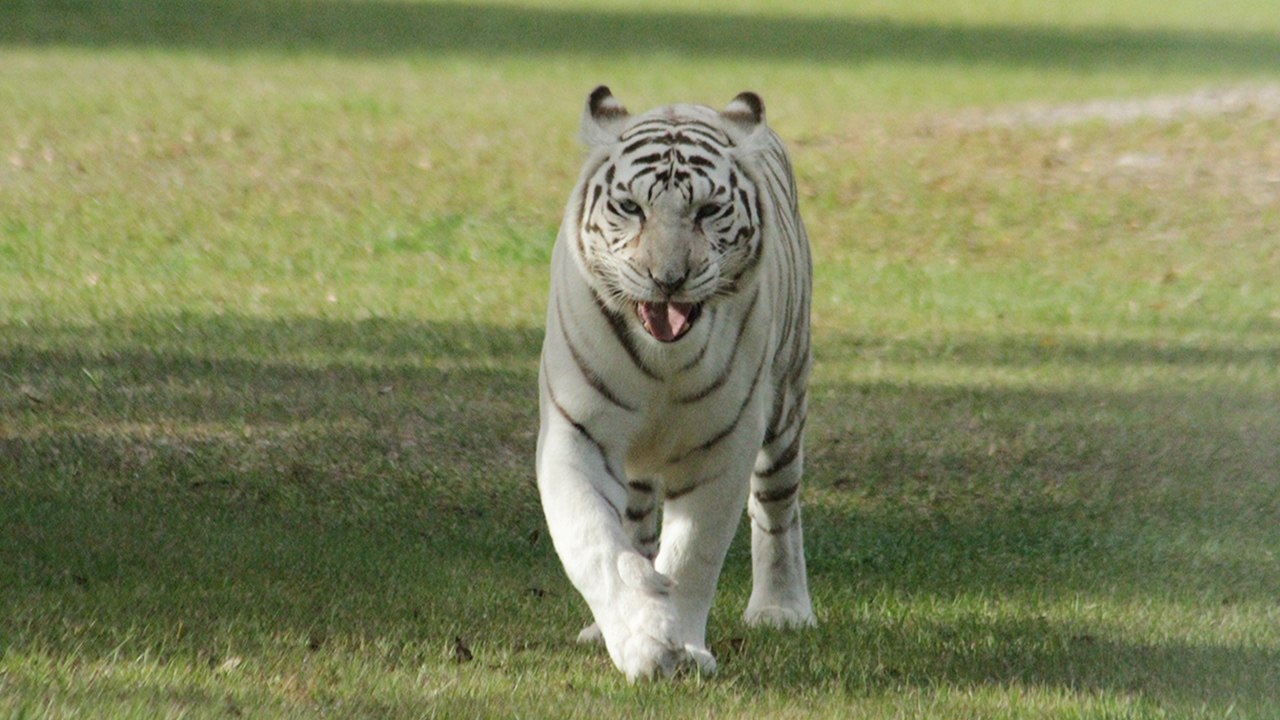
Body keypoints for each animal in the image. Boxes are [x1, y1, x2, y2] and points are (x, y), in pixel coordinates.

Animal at [536, 86, 814, 680]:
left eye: (707, 211)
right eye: (631, 208)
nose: (668, 280)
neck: (662, 359)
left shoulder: (724, 445)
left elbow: (692, 555)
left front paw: (679, 647)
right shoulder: (576, 434)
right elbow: (599, 547)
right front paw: (642, 640)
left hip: (785, 407)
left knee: (778, 510)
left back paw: (782, 608)